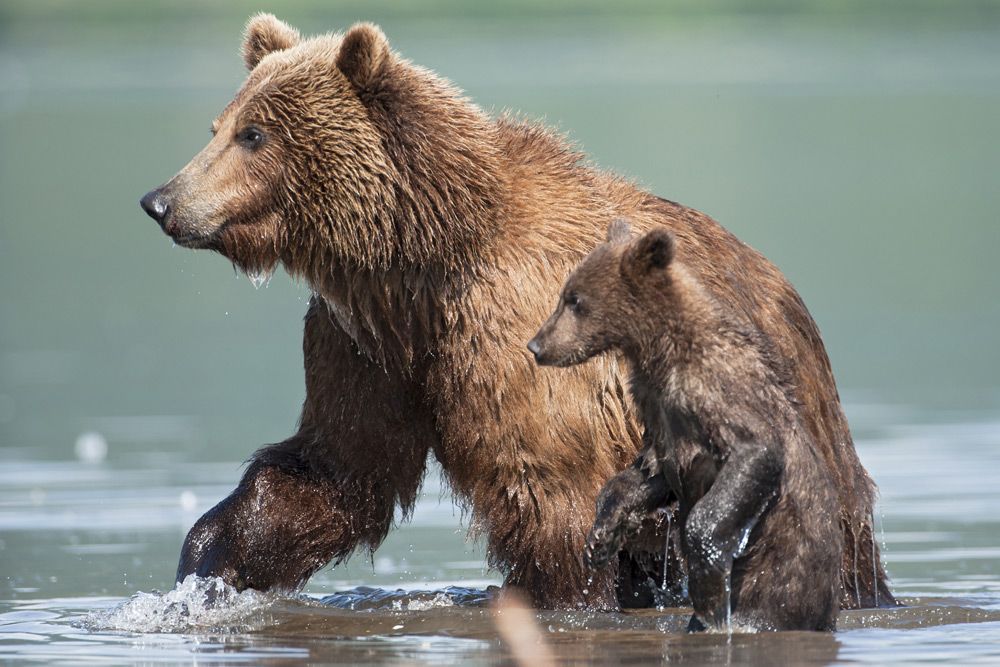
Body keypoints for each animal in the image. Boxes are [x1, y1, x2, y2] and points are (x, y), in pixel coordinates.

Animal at [139, 14, 892, 612]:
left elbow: (547, 497)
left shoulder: (519, 342)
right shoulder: (365, 341)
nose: (161, 199)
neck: (421, 257)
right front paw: (207, 558)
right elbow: (339, 464)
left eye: (255, 134)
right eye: (220, 125)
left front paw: (557, 597)